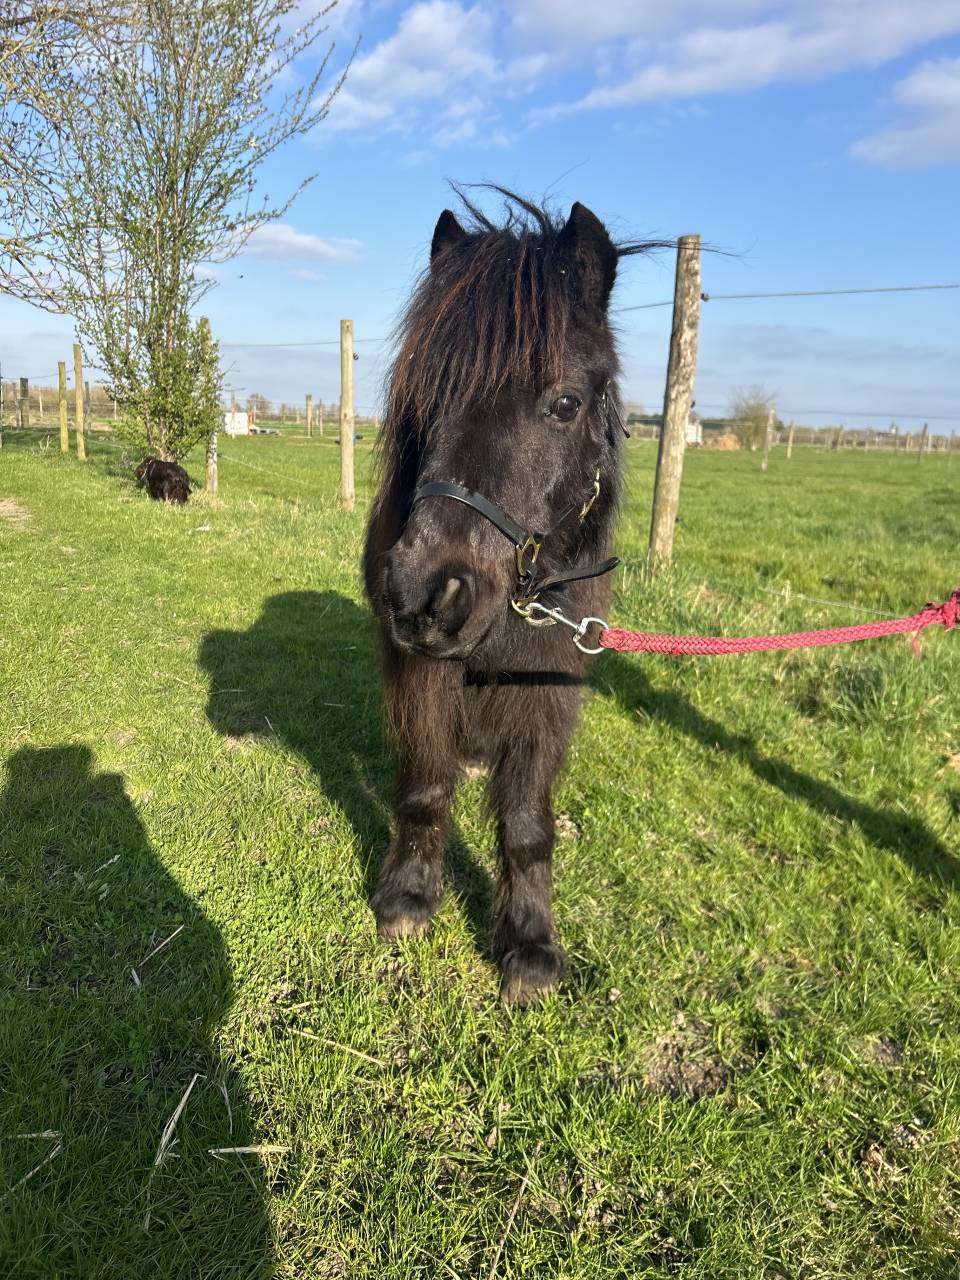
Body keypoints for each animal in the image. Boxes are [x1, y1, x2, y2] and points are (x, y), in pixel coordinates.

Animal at [364, 189, 659, 1004]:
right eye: (425, 394)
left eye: (565, 402)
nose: (425, 595)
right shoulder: (421, 675)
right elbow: (425, 784)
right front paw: (409, 896)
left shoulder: (547, 688)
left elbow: (527, 823)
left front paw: (529, 944)